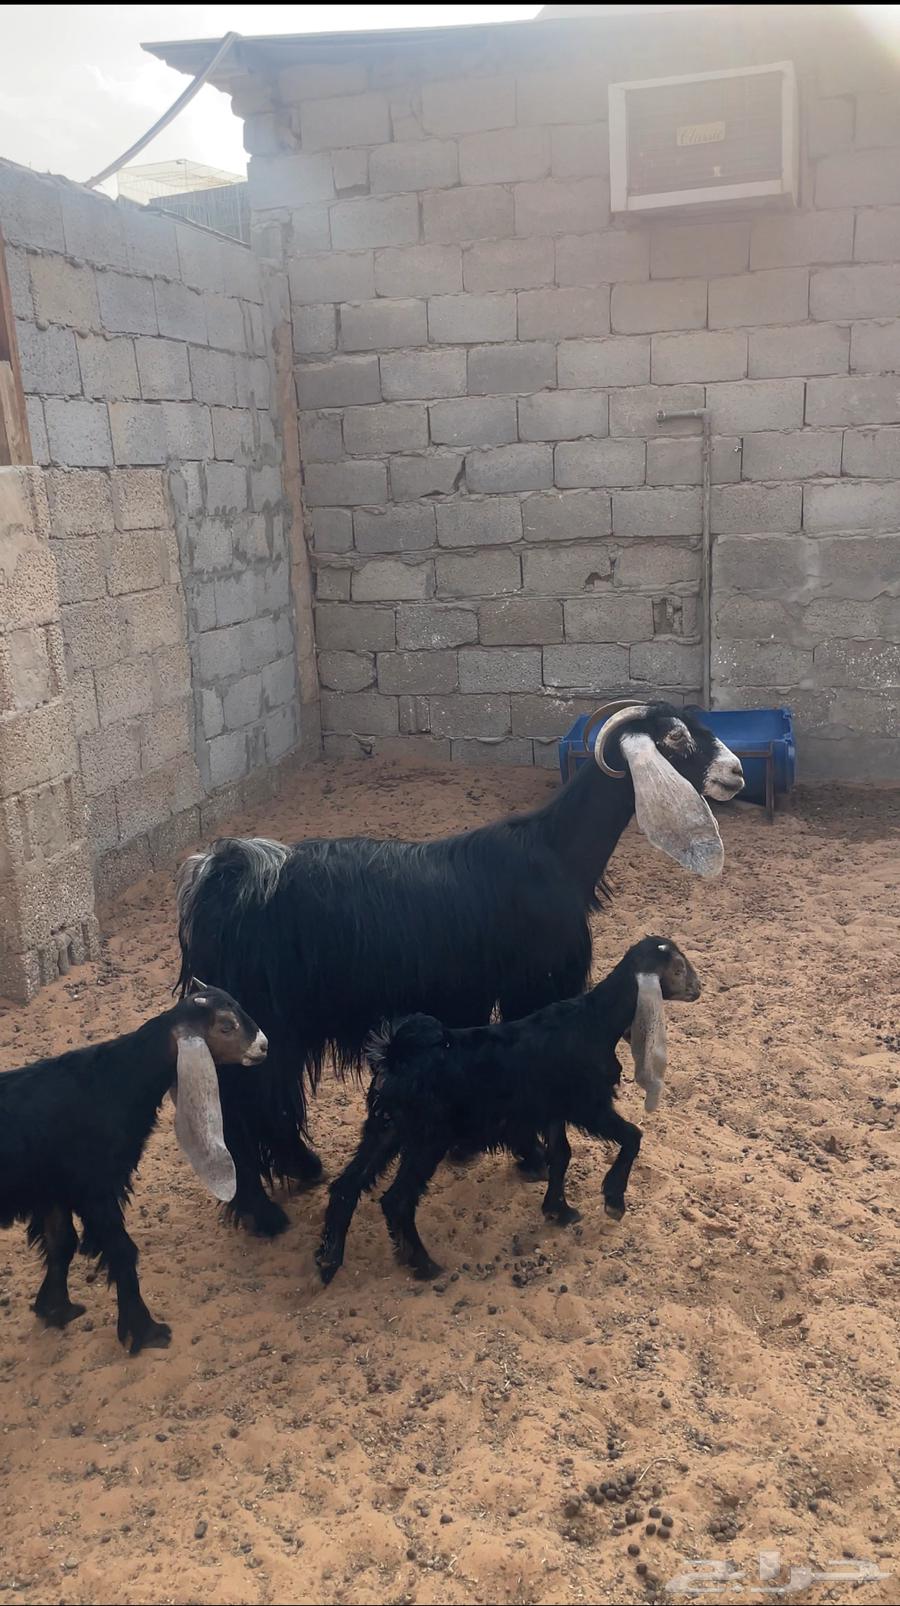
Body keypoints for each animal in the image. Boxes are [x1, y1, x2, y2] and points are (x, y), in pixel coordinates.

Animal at [0, 987, 267, 1353]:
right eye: (226, 1026)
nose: (263, 1045)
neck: (111, 1084)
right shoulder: (94, 1188)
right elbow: (122, 1251)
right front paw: (145, 1331)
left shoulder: (55, 1188)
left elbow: (61, 1243)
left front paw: (56, 1309)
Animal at [176, 702, 742, 1238]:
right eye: (675, 738)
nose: (734, 773)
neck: (555, 853)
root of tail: (221, 874)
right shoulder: (533, 988)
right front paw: (532, 1157)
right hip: (253, 1020)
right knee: (241, 1110)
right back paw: (264, 1212)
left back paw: (303, 1169)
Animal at [316, 938, 700, 1285]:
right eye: (679, 968)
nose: (698, 989)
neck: (595, 1022)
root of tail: (395, 1054)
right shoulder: (588, 1105)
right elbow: (633, 1136)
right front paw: (613, 1200)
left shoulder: (552, 1108)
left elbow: (562, 1154)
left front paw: (558, 1210)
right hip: (427, 1137)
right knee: (397, 1200)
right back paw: (423, 1265)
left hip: (386, 1127)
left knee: (347, 1185)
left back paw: (328, 1260)